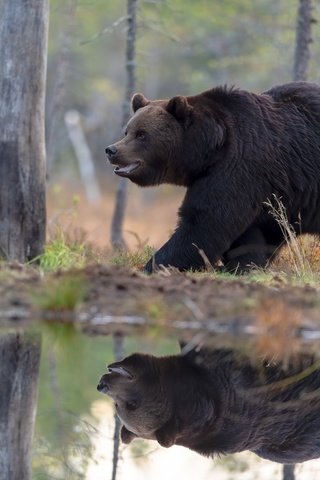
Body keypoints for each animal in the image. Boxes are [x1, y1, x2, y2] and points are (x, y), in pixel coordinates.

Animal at [105, 80, 320, 272]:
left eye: (142, 134)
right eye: (127, 131)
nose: (111, 150)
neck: (209, 149)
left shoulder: (238, 167)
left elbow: (205, 222)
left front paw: (154, 265)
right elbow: (253, 234)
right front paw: (243, 264)